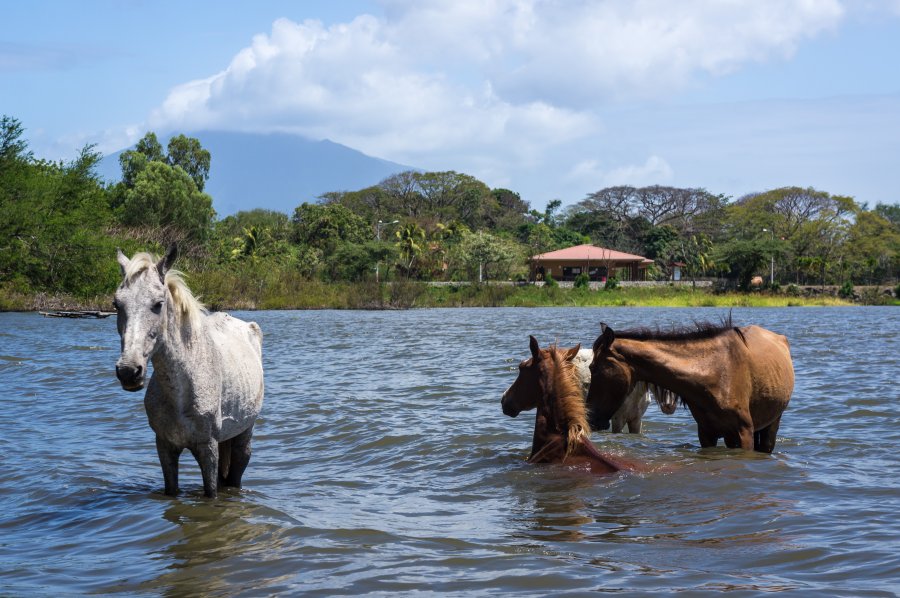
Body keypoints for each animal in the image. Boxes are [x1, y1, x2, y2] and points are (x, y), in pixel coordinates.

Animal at [113, 246, 264, 500]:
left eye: (158, 304)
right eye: (117, 304)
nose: (128, 371)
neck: (182, 390)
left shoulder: (207, 449)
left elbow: (211, 492)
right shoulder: (165, 447)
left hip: (243, 435)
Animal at [592, 318, 796, 454]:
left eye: (594, 367)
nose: (592, 419)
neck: (714, 374)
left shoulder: (743, 433)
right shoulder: (706, 434)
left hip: (771, 423)